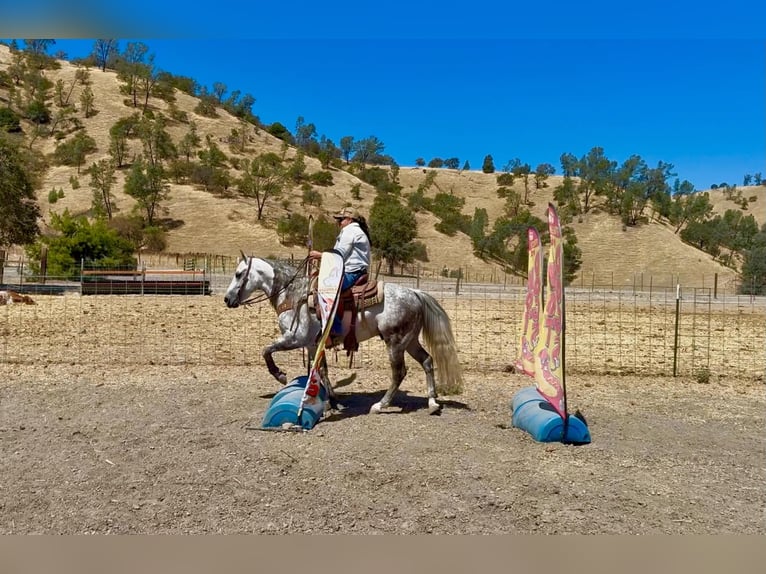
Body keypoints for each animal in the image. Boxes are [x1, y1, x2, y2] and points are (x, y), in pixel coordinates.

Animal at [223, 255, 463, 415]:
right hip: (410, 340)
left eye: (238, 274)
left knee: (399, 372)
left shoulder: (295, 338)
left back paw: (381, 405)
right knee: (427, 361)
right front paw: (332, 401)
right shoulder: (312, 345)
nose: (227, 299)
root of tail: (415, 292)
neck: (293, 295)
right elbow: (322, 371)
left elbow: (266, 350)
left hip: (395, 342)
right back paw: (432, 403)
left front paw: (279, 374)